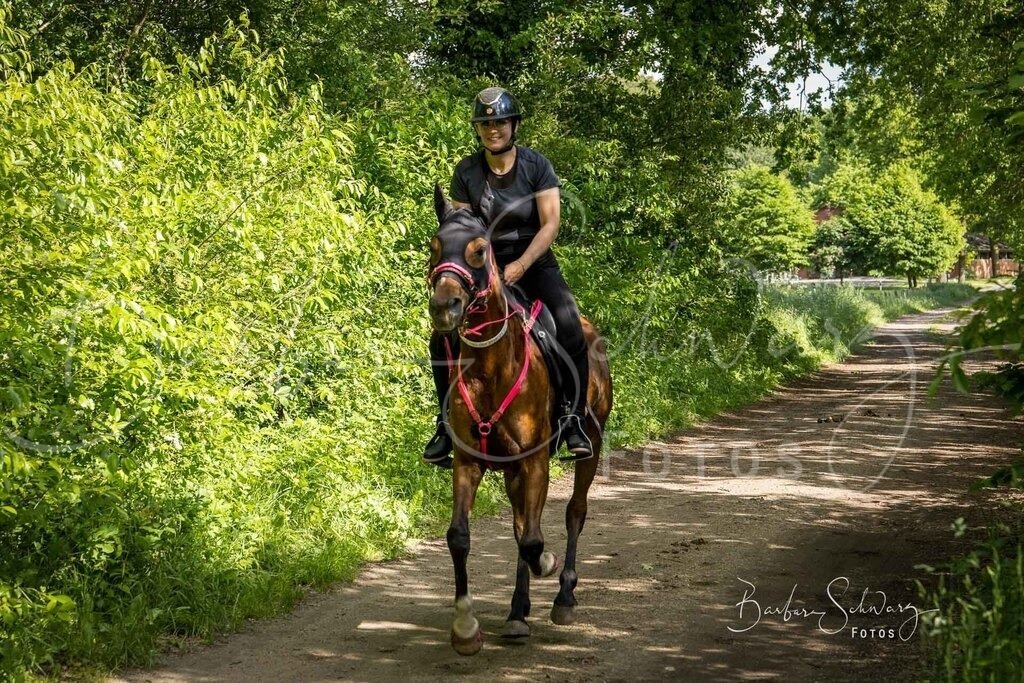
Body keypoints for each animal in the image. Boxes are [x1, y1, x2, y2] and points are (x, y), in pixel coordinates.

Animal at [427, 184, 613, 656]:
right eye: (434, 246)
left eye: (479, 249)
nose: (444, 307)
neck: (491, 367)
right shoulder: (469, 462)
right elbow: (460, 536)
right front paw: (465, 626)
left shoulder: (535, 461)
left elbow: (534, 539)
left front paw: (546, 564)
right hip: (509, 469)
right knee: (519, 526)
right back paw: (516, 612)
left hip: (590, 443)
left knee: (574, 512)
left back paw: (563, 596)